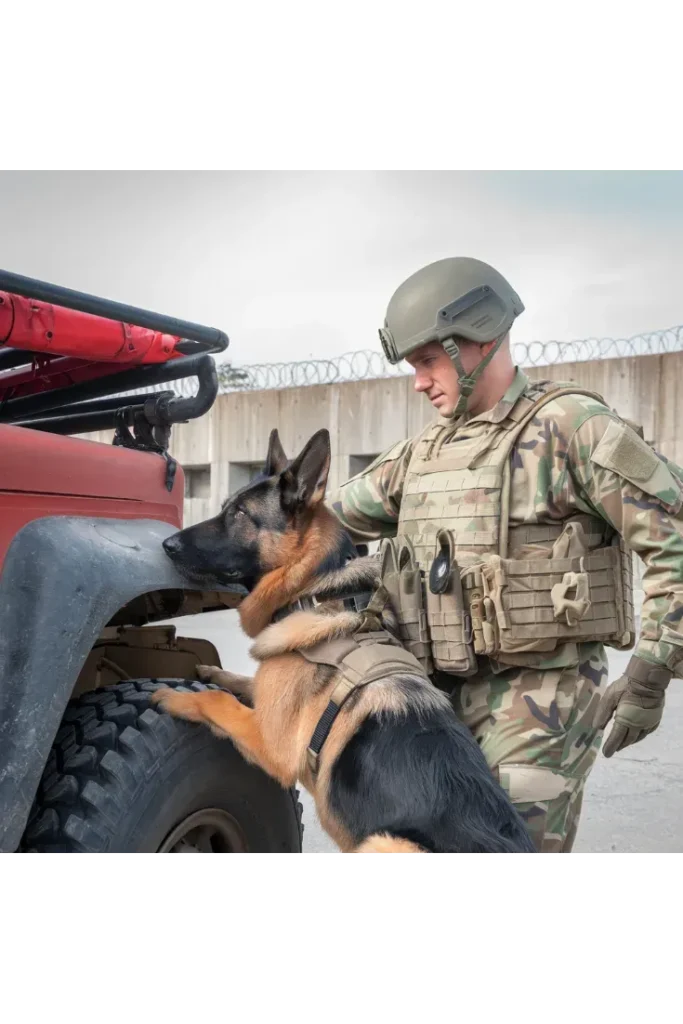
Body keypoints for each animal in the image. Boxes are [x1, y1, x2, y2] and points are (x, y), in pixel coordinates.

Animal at [153, 425, 540, 856]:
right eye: (224, 507)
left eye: (239, 514)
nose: (167, 545)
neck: (311, 592)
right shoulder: (268, 701)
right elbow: (241, 681)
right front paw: (209, 670)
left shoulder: (271, 745)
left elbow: (216, 701)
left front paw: (173, 697)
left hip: (384, 843)